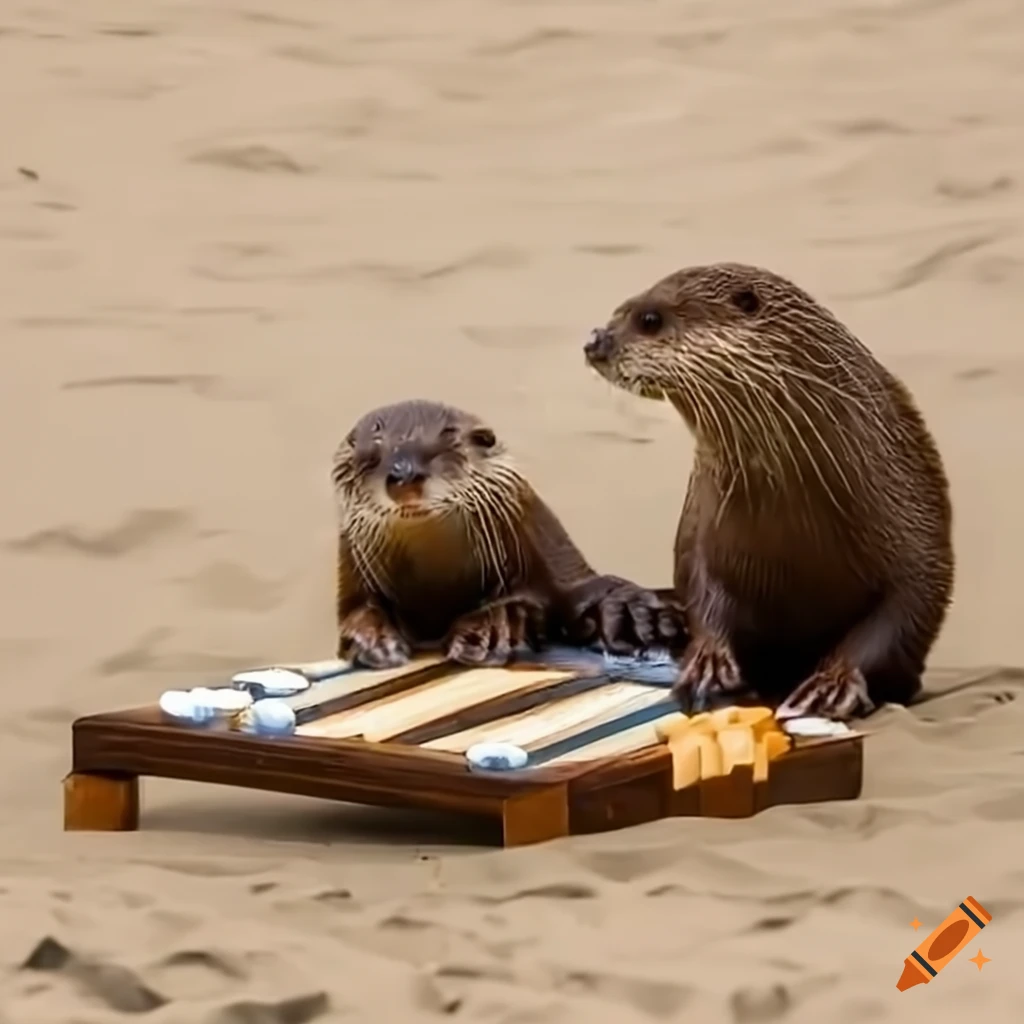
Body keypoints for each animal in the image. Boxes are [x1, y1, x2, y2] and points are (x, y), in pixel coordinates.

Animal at [330, 399, 682, 668]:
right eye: (372, 457)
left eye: (445, 445)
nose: (403, 474)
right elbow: (357, 612)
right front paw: (374, 640)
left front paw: (494, 631)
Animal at [583, 262, 954, 720]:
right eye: (618, 310)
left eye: (649, 319)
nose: (594, 341)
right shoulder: (702, 531)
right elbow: (703, 592)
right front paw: (708, 663)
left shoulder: (920, 543)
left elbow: (900, 617)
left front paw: (830, 686)